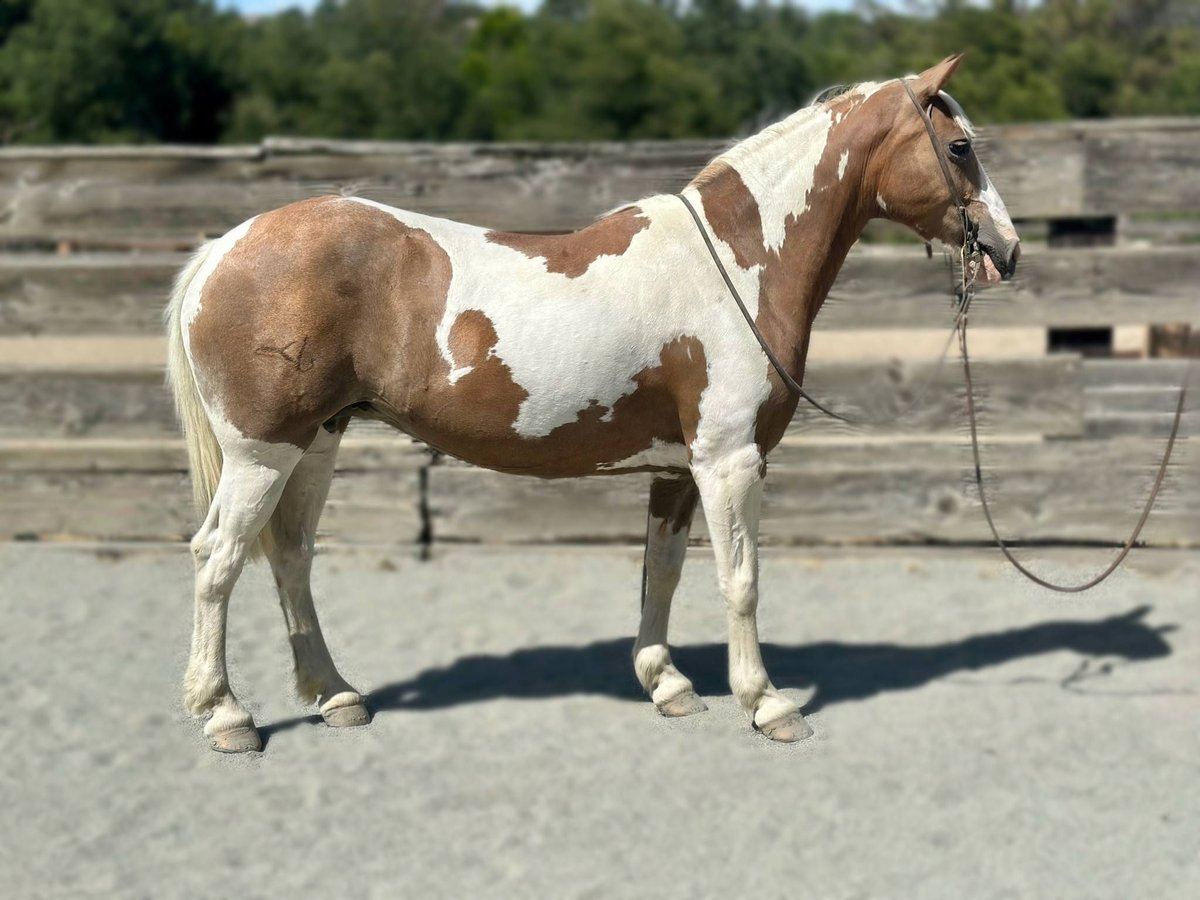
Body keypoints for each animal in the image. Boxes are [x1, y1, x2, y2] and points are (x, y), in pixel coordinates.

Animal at [166, 55, 1020, 753]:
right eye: (959, 147)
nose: (1007, 251)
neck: (737, 261)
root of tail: (226, 247)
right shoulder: (730, 462)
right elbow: (740, 580)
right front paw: (768, 703)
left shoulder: (678, 470)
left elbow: (661, 574)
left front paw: (669, 686)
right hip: (263, 451)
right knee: (216, 557)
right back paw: (226, 714)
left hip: (317, 441)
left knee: (289, 555)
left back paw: (336, 695)